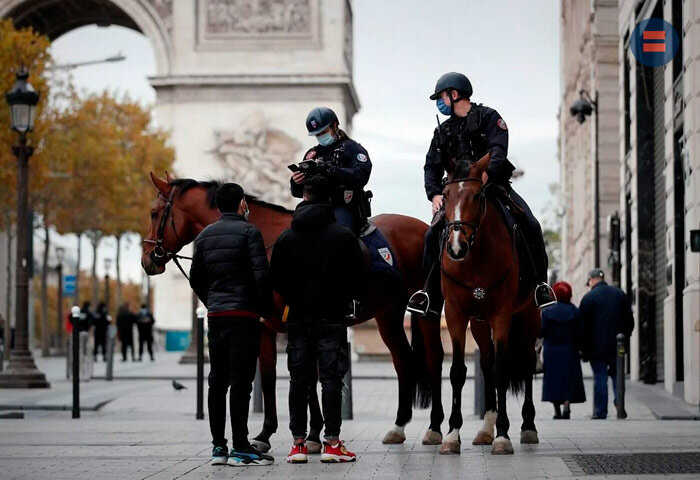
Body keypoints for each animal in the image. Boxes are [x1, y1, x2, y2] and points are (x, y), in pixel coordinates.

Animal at [140, 172, 442, 450]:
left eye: (154, 213)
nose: (146, 260)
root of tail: (423, 226)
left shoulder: (301, 321)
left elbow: (307, 377)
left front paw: (312, 434)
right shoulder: (266, 326)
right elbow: (270, 377)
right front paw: (268, 433)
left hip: (425, 310)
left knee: (434, 359)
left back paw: (435, 428)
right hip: (387, 313)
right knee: (403, 360)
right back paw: (398, 426)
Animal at [438, 154, 540, 454]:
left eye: (476, 195)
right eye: (445, 195)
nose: (456, 247)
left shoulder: (502, 314)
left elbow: (501, 371)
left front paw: (503, 435)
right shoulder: (456, 314)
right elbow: (458, 372)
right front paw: (452, 434)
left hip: (529, 317)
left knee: (526, 363)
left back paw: (528, 426)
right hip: (480, 325)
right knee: (485, 361)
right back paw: (485, 428)